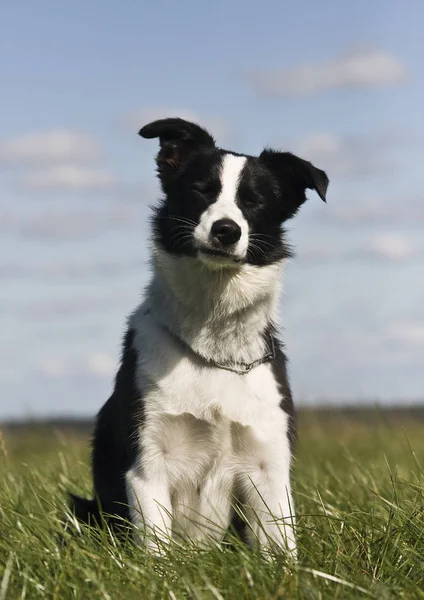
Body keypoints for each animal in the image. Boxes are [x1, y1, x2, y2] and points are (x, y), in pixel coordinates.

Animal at [70, 117, 328, 556]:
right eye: (201, 189)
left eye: (254, 201)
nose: (226, 230)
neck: (213, 341)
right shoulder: (149, 460)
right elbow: (157, 550)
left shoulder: (268, 461)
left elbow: (281, 550)